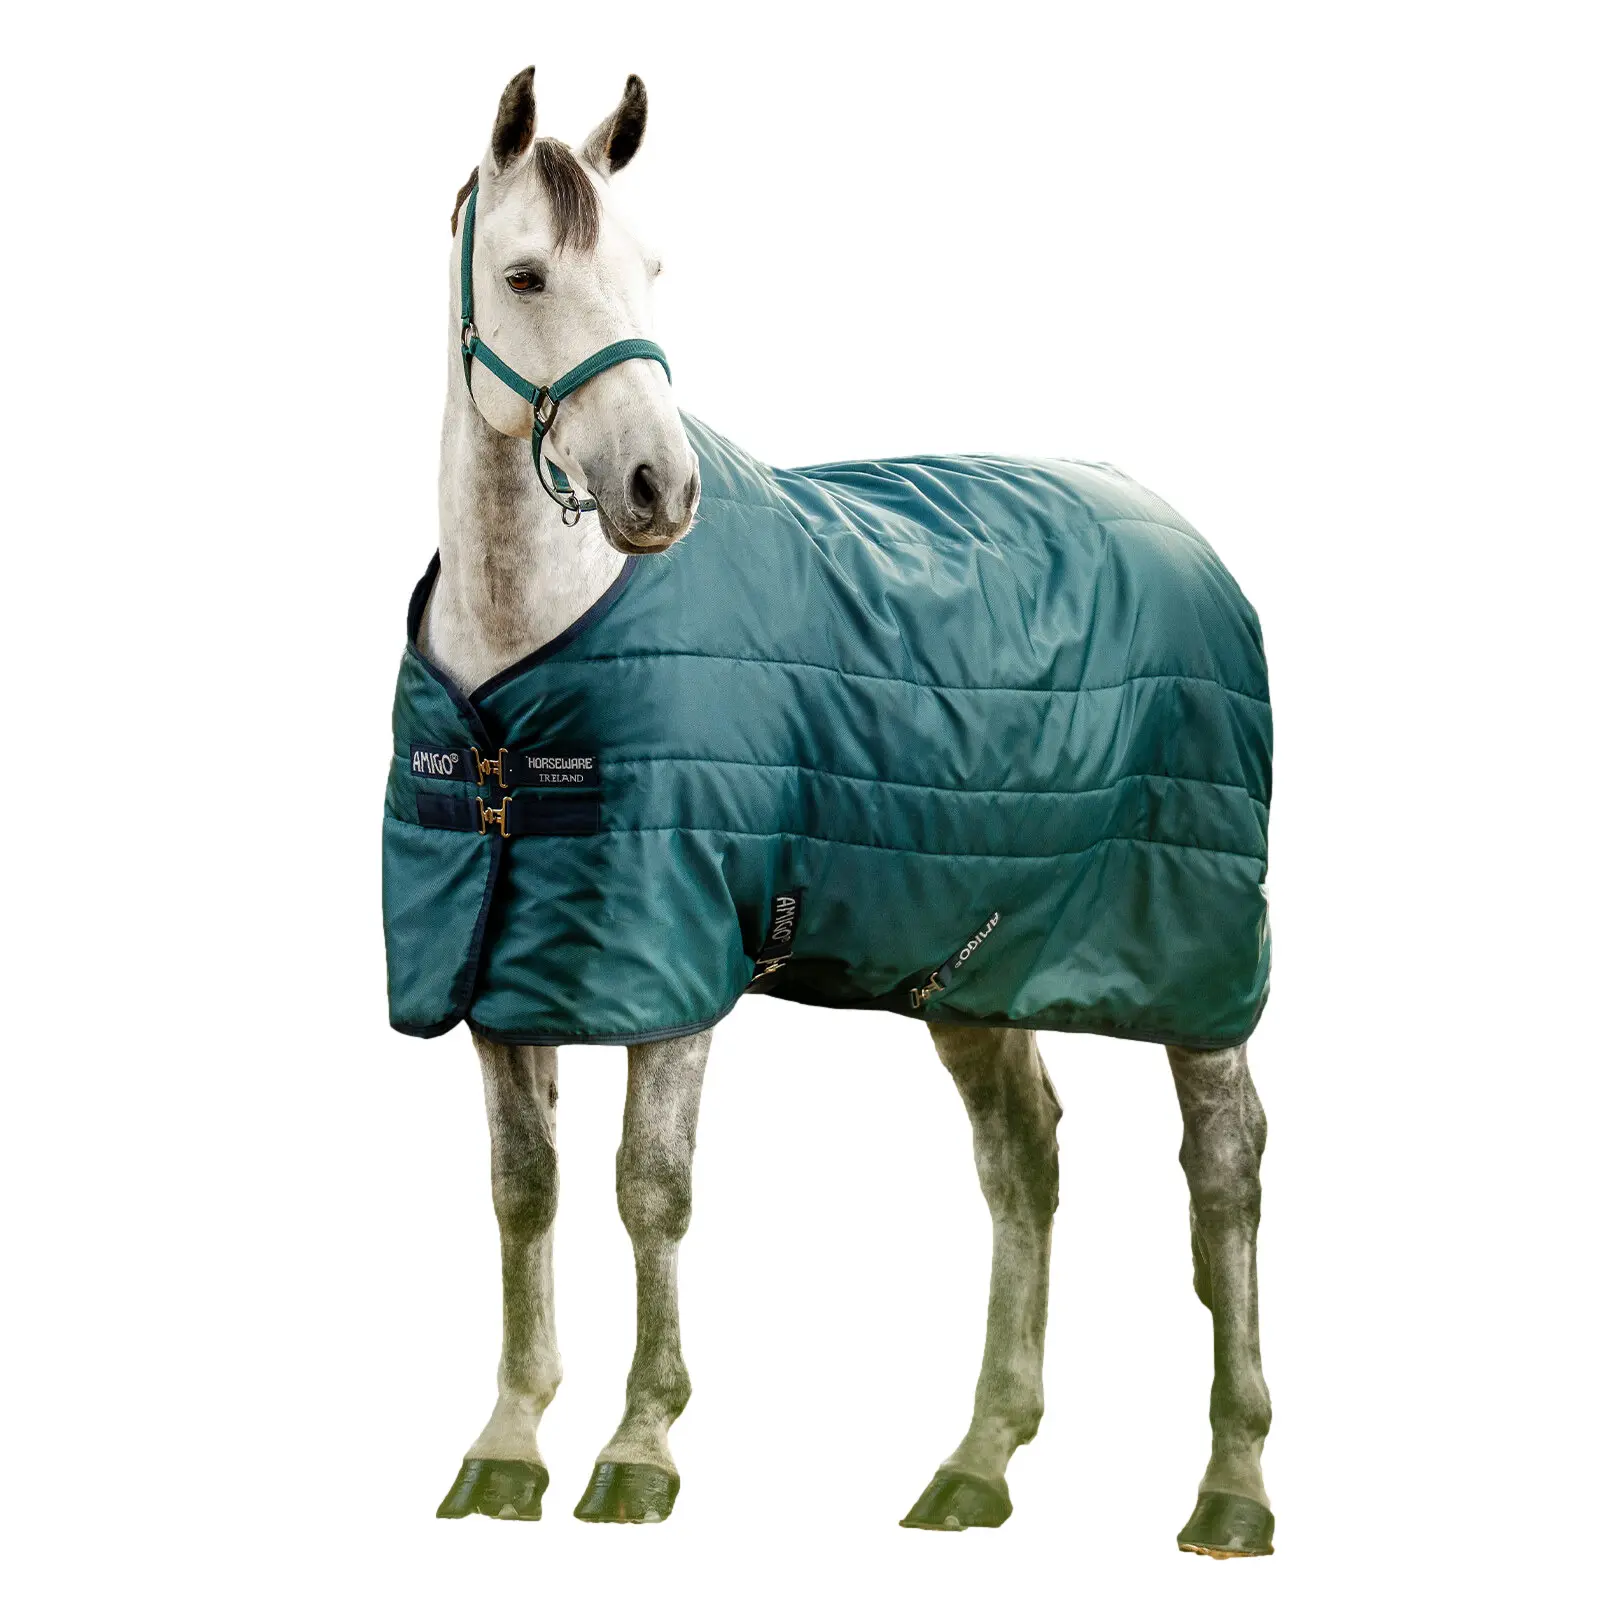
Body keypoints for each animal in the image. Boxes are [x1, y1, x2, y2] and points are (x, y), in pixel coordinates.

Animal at [395, 66, 1273, 1556]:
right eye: (523, 275)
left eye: (653, 268)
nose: (660, 490)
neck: (524, 673)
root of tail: (1184, 535)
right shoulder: (501, 965)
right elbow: (524, 1191)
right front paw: (506, 1449)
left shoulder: (672, 958)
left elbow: (648, 1187)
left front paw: (638, 1451)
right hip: (976, 957)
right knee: (1022, 1160)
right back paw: (976, 1466)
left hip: (1194, 957)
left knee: (1224, 1170)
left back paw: (1233, 1489)